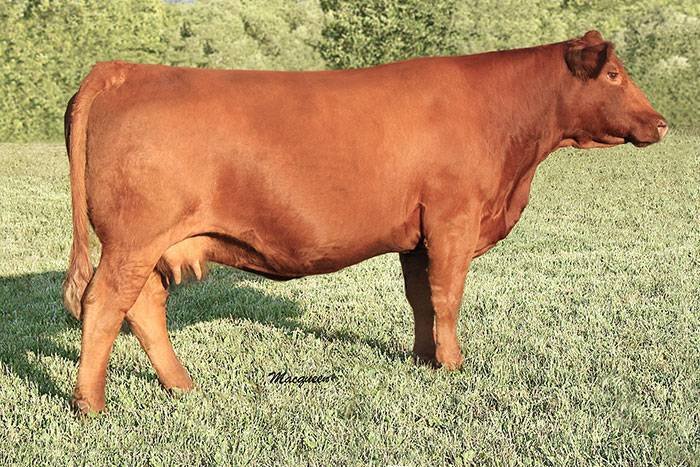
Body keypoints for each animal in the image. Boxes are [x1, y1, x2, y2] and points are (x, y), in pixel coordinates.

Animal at [63, 30, 668, 414]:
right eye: (615, 74)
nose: (661, 122)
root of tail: (123, 70)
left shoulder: (418, 236)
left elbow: (422, 298)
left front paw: (426, 361)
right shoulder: (453, 220)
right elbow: (448, 295)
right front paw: (454, 368)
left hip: (154, 245)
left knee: (142, 307)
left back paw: (181, 386)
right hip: (134, 240)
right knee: (104, 303)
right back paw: (91, 406)